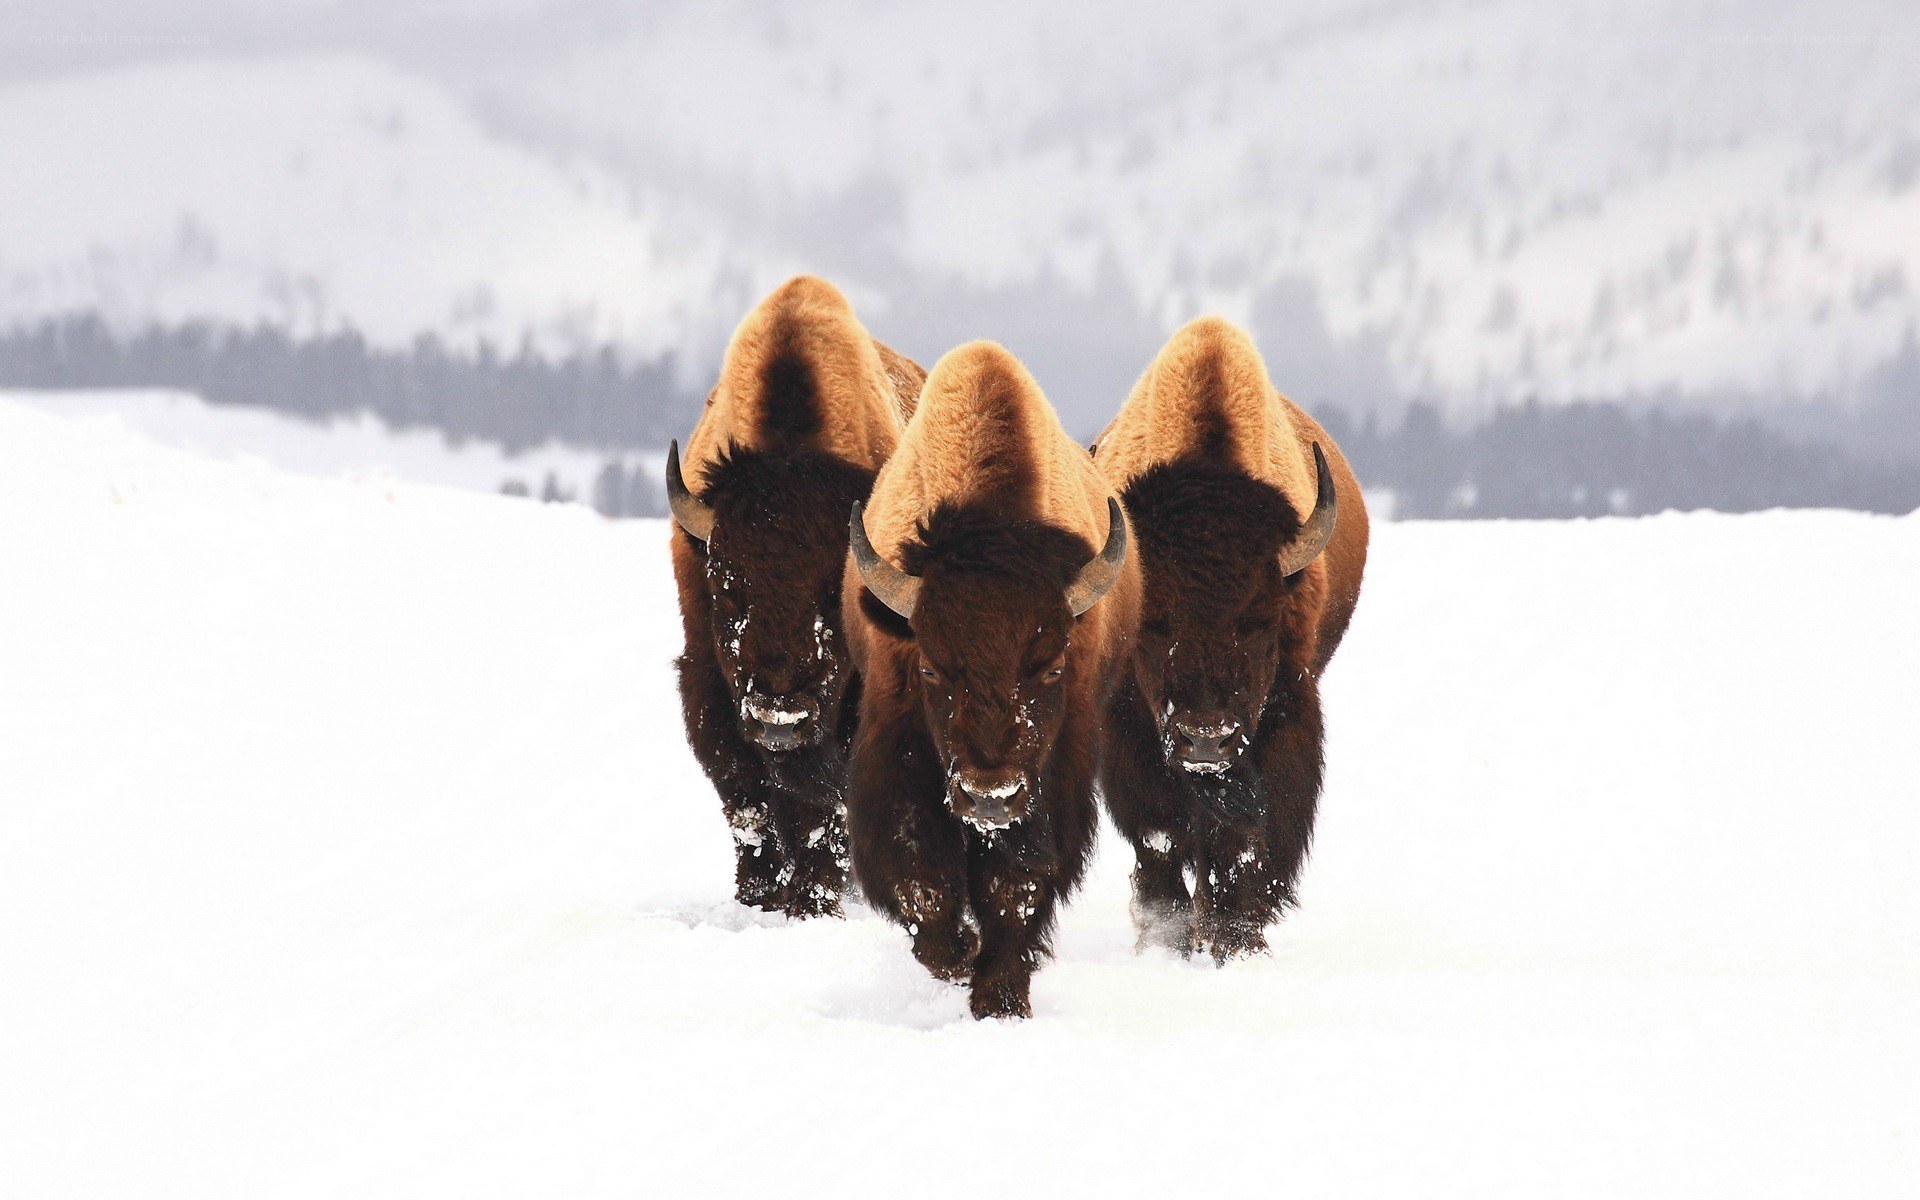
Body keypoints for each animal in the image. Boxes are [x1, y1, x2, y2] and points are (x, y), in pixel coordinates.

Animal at [668, 276, 925, 918]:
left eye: (834, 599)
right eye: (725, 590)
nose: (780, 716)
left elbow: (822, 811)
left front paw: (814, 901)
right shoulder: (708, 683)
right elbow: (748, 800)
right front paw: (760, 897)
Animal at [1093, 317, 1369, 960]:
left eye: (1260, 620)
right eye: (1154, 622)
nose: (1205, 741)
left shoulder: (1284, 717)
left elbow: (1243, 845)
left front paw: (1234, 941)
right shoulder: (1128, 735)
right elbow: (1161, 839)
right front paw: (1167, 939)